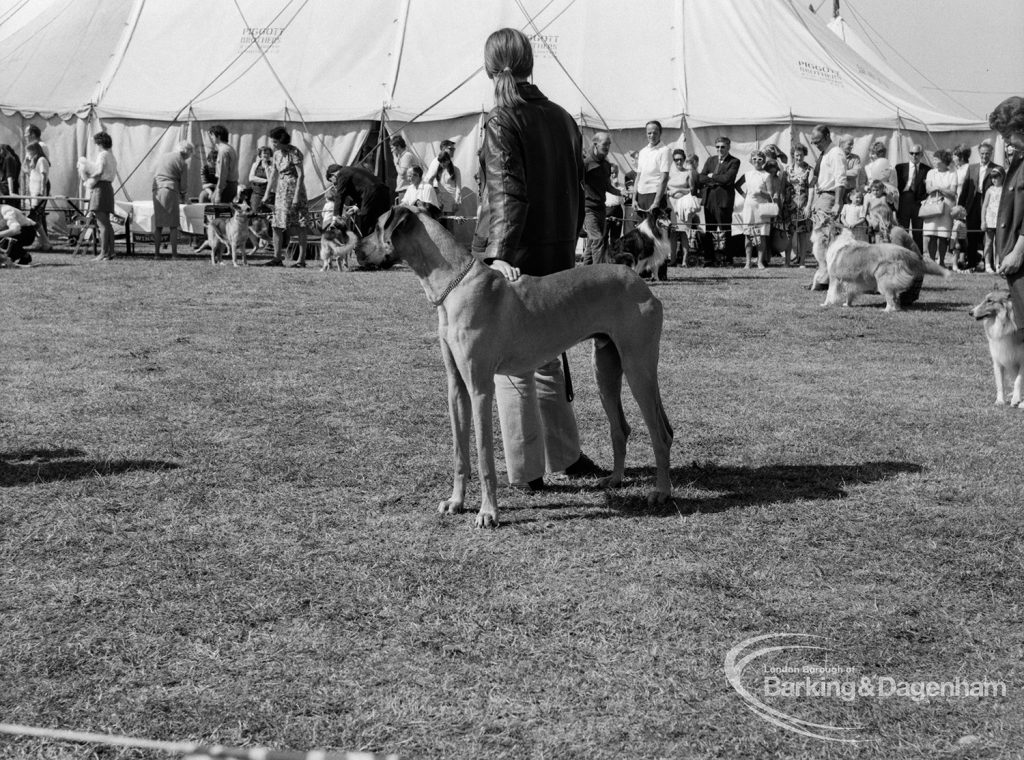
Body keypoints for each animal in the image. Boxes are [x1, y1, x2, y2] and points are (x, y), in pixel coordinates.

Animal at [356, 205, 675, 532]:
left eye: (377, 226)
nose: (356, 249)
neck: (454, 285)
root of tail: (639, 282)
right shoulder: (456, 388)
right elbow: (460, 454)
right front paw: (456, 501)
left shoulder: (480, 388)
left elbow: (484, 457)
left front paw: (488, 512)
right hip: (606, 370)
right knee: (620, 427)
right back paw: (615, 478)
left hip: (639, 368)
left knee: (661, 434)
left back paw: (661, 492)